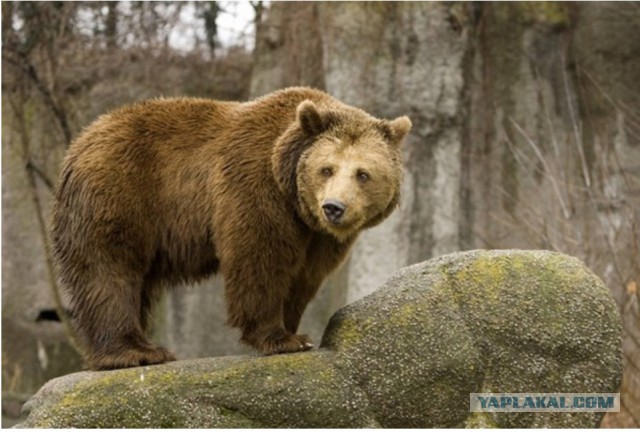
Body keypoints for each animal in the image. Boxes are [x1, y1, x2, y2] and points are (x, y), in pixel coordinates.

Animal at [50, 86, 410, 370]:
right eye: (327, 169)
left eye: (363, 174)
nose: (333, 207)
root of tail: (80, 141)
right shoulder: (254, 185)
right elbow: (260, 258)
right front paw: (280, 338)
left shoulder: (316, 235)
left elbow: (304, 275)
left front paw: (294, 330)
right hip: (118, 191)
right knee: (109, 269)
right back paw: (136, 351)